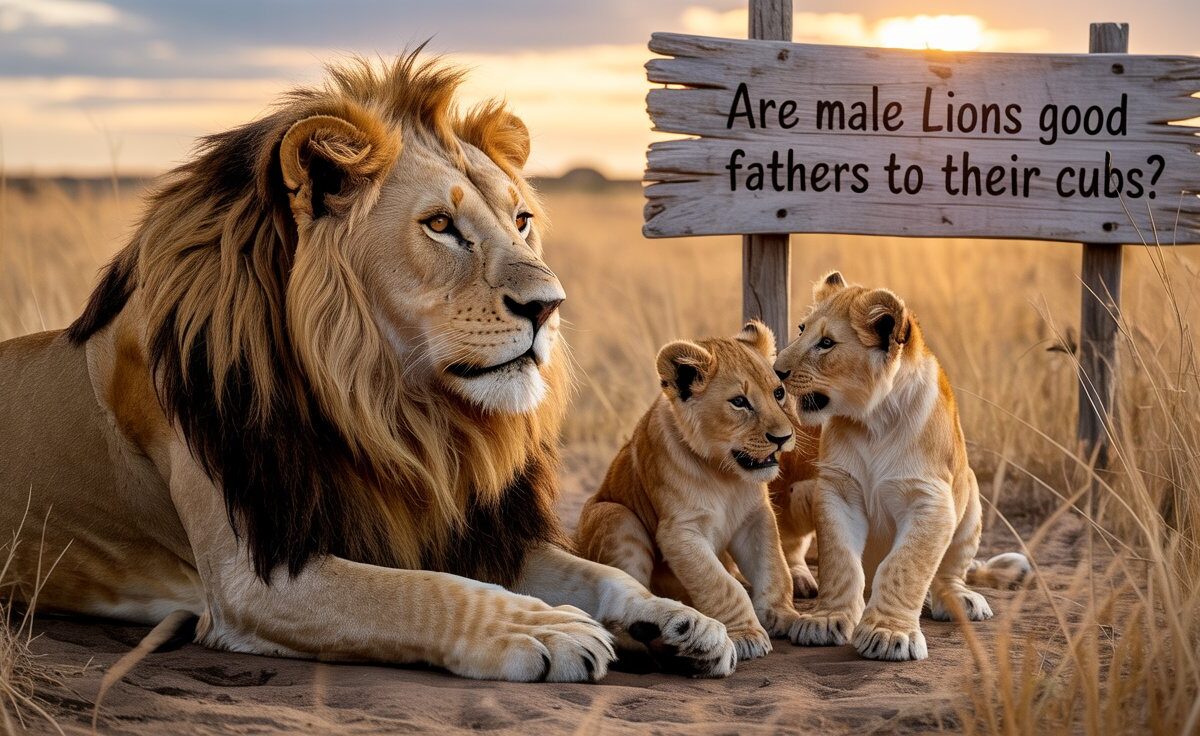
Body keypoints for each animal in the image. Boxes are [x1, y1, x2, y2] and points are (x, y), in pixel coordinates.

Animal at [0, 53, 737, 682]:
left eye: (522, 219)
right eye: (439, 225)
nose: (548, 305)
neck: (391, 410)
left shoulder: (467, 530)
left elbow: (598, 574)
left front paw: (680, 620)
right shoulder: (255, 575)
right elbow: (425, 593)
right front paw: (542, 629)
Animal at [575, 321, 803, 662]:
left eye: (778, 393)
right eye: (739, 402)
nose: (783, 437)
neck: (725, 475)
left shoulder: (756, 518)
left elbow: (774, 568)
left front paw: (782, 615)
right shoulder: (679, 531)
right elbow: (720, 584)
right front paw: (746, 634)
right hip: (614, 514)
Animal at [774, 271, 1029, 661]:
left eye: (826, 343)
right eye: (801, 329)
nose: (776, 371)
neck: (873, 420)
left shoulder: (931, 500)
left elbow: (905, 565)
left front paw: (889, 634)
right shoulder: (837, 491)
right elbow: (839, 560)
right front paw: (825, 620)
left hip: (970, 501)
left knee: (949, 573)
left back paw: (960, 600)